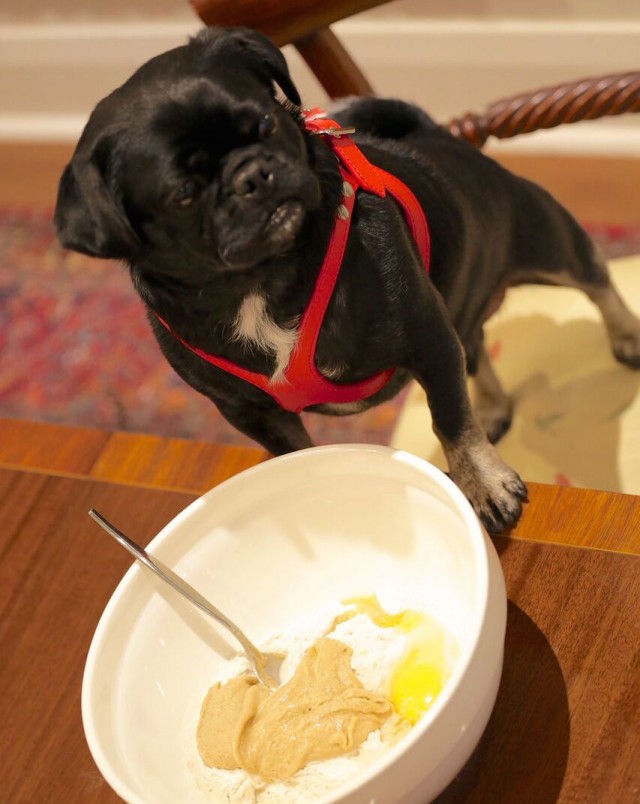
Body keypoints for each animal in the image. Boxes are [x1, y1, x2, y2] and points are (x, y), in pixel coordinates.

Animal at [55, 28, 640, 532]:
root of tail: (436, 134)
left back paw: (626, 337)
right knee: (474, 346)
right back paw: (494, 405)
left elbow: (450, 418)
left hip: (546, 240)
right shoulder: (253, 413)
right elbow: (296, 450)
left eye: (267, 124)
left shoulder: (427, 337)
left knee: (596, 279)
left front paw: (481, 482)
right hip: (462, 300)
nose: (253, 173)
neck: (261, 279)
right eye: (183, 194)